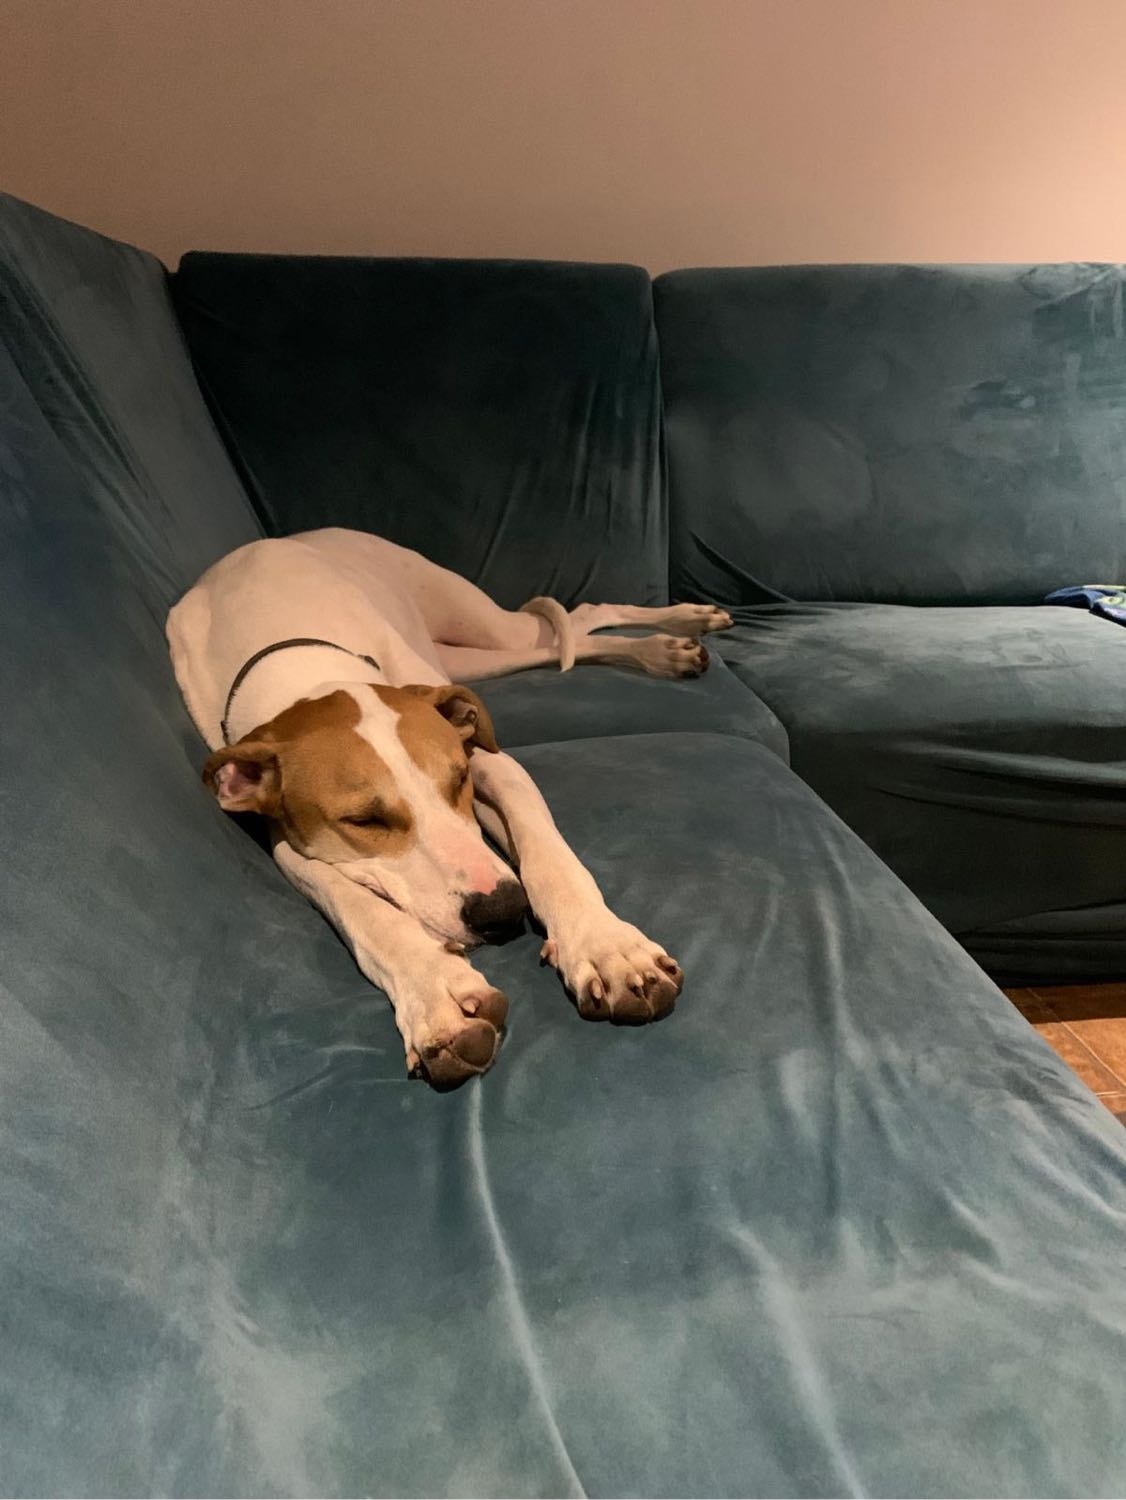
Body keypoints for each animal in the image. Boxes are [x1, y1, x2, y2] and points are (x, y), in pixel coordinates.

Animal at [167, 528, 732, 1088]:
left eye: (459, 778)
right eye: (363, 821)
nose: (502, 910)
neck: (303, 670)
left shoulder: (494, 764)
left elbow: (550, 857)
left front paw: (606, 947)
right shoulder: (286, 841)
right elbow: (362, 910)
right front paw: (436, 989)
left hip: (479, 626)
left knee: (579, 616)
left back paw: (683, 628)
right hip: (470, 659)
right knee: (564, 639)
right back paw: (667, 651)